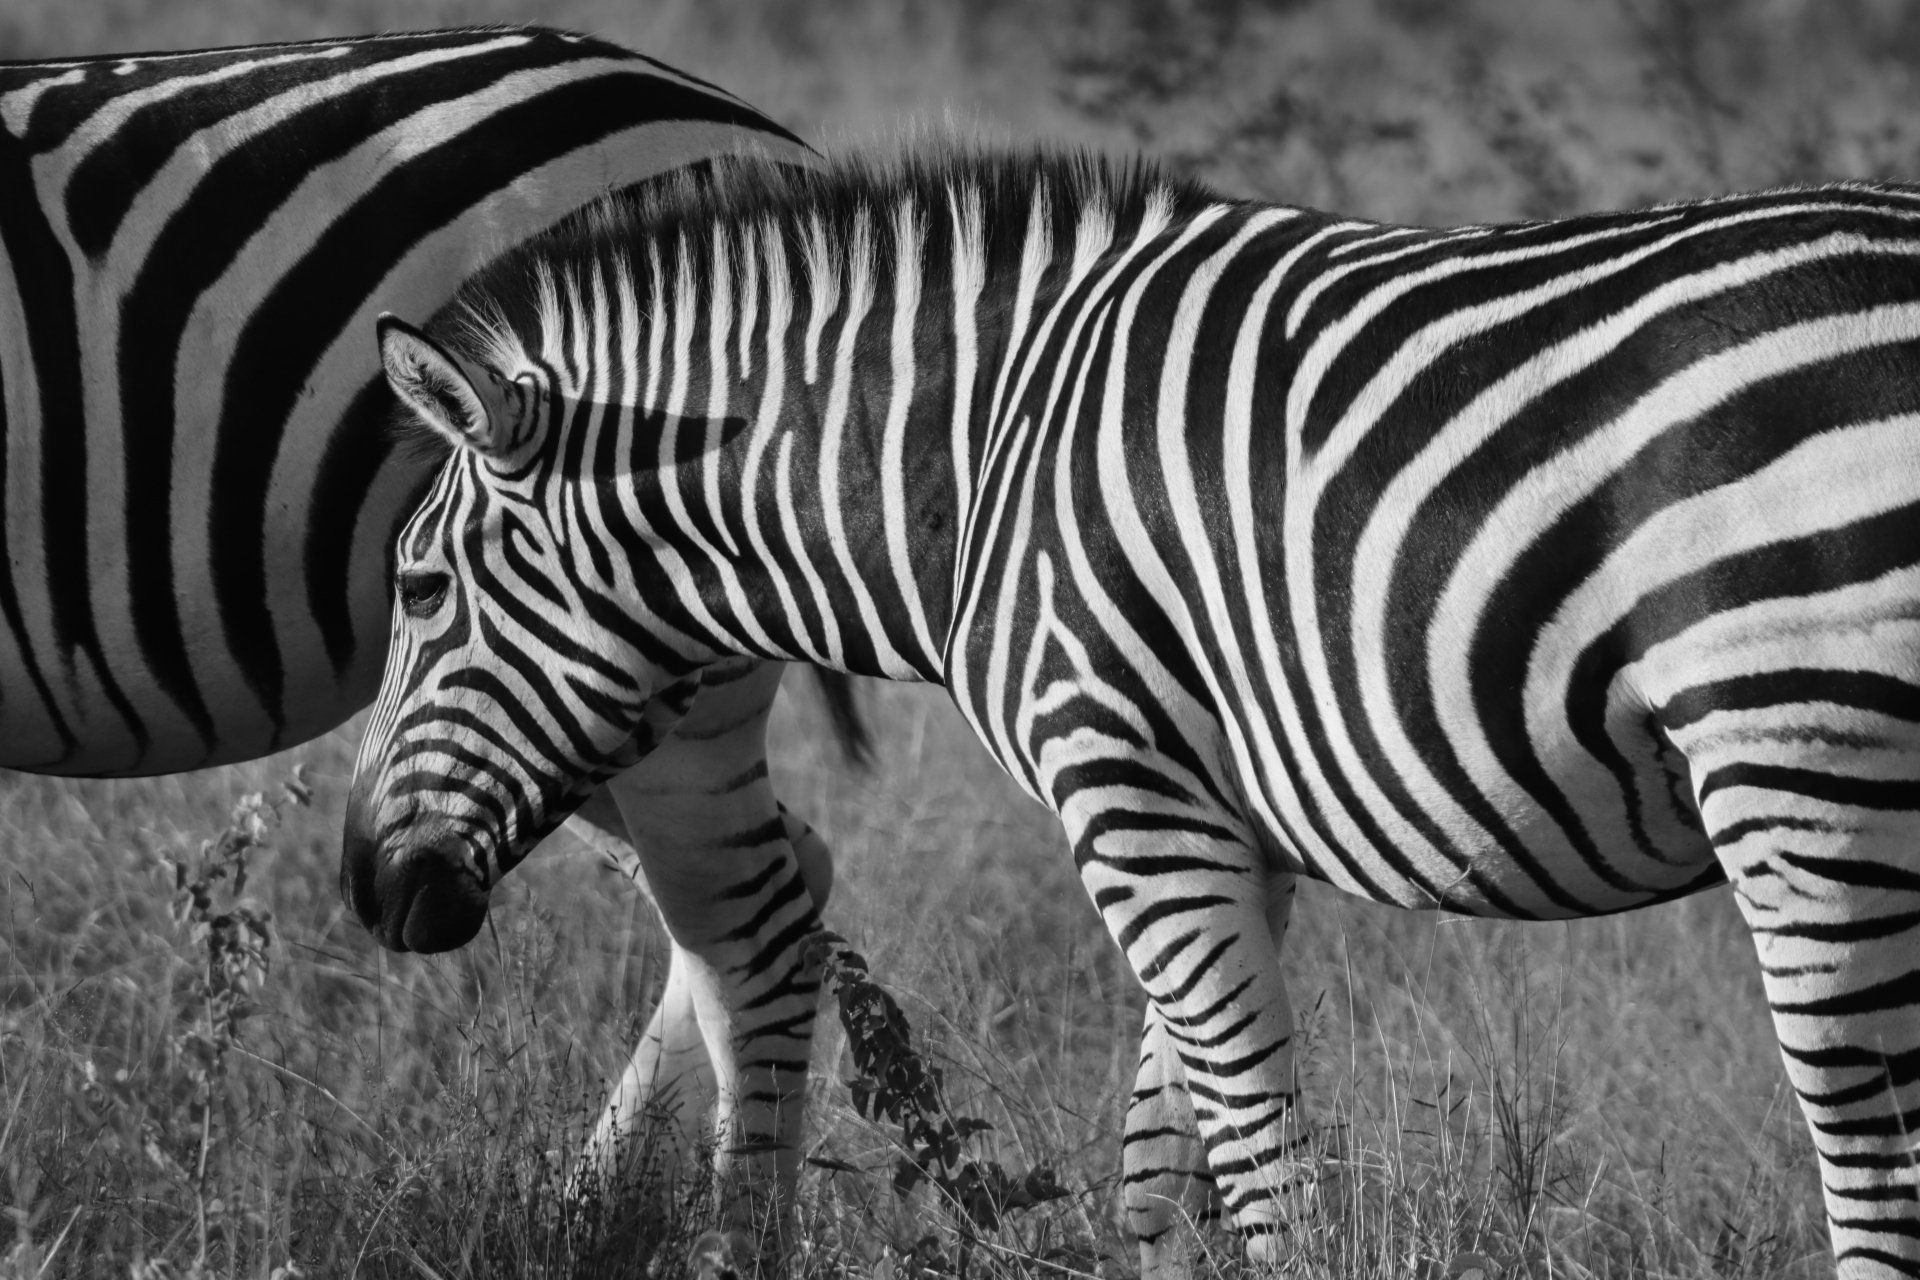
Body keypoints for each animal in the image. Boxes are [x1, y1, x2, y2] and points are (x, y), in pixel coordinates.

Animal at [0, 27, 842, 1212]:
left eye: (425, 587)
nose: (371, 891)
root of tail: (762, 134)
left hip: (664, 698)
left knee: (751, 935)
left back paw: (727, 1228)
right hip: (590, 739)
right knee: (779, 886)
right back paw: (587, 1210)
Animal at [344, 145, 1920, 1276]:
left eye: (417, 589)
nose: (368, 891)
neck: (977, 462)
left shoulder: (1123, 785)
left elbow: (1263, 1166)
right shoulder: (1223, 820)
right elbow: (1166, 1174)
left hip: (1800, 765)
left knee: (1874, 1166)